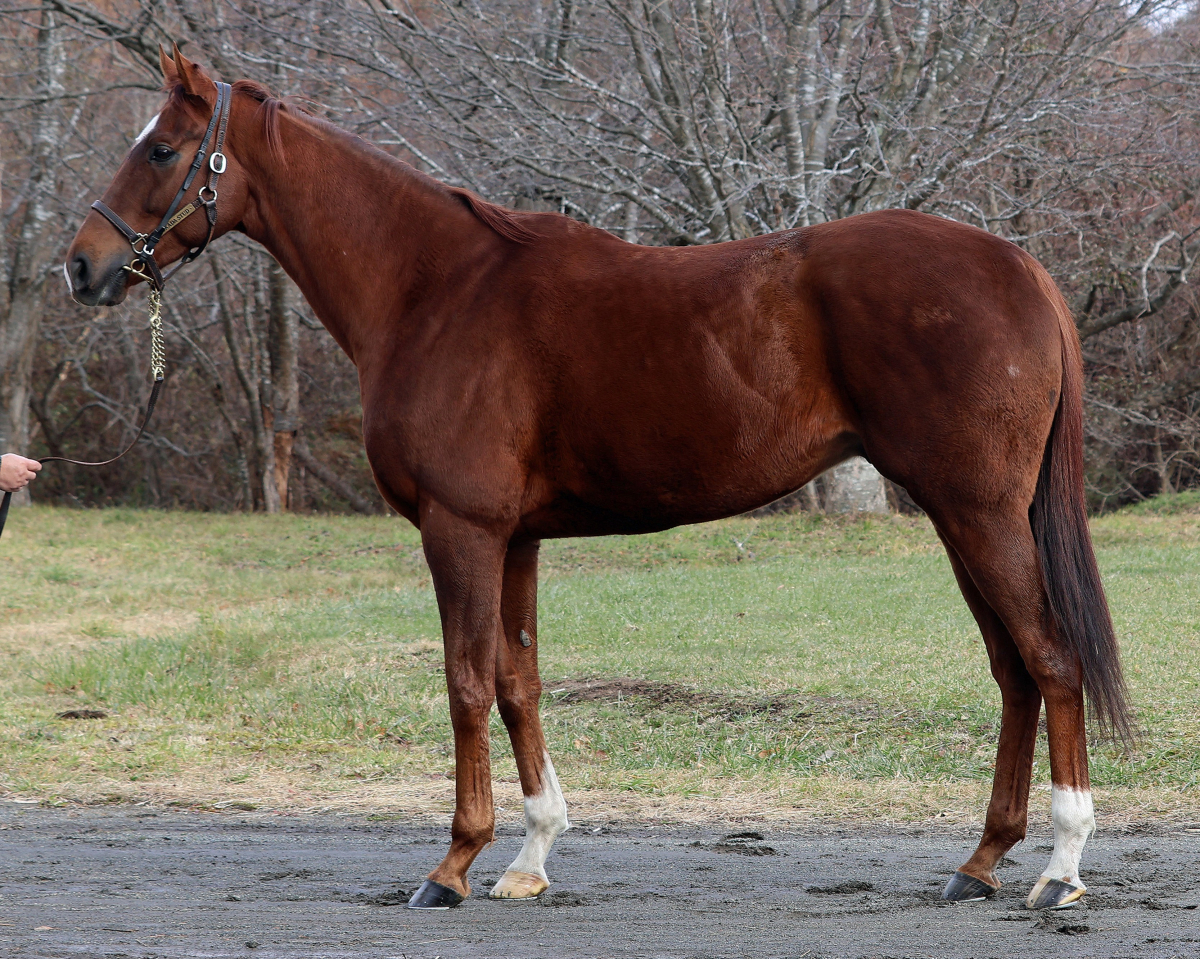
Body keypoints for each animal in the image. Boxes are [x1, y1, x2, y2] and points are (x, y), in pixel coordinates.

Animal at [65, 46, 1131, 912]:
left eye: (161, 150)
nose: (81, 265)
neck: (434, 291)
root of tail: (1020, 267)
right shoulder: (517, 537)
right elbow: (518, 681)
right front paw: (531, 857)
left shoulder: (460, 529)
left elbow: (463, 681)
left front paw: (452, 865)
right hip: (963, 519)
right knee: (1013, 672)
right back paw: (981, 861)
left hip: (979, 513)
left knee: (1050, 659)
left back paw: (1061, 868)